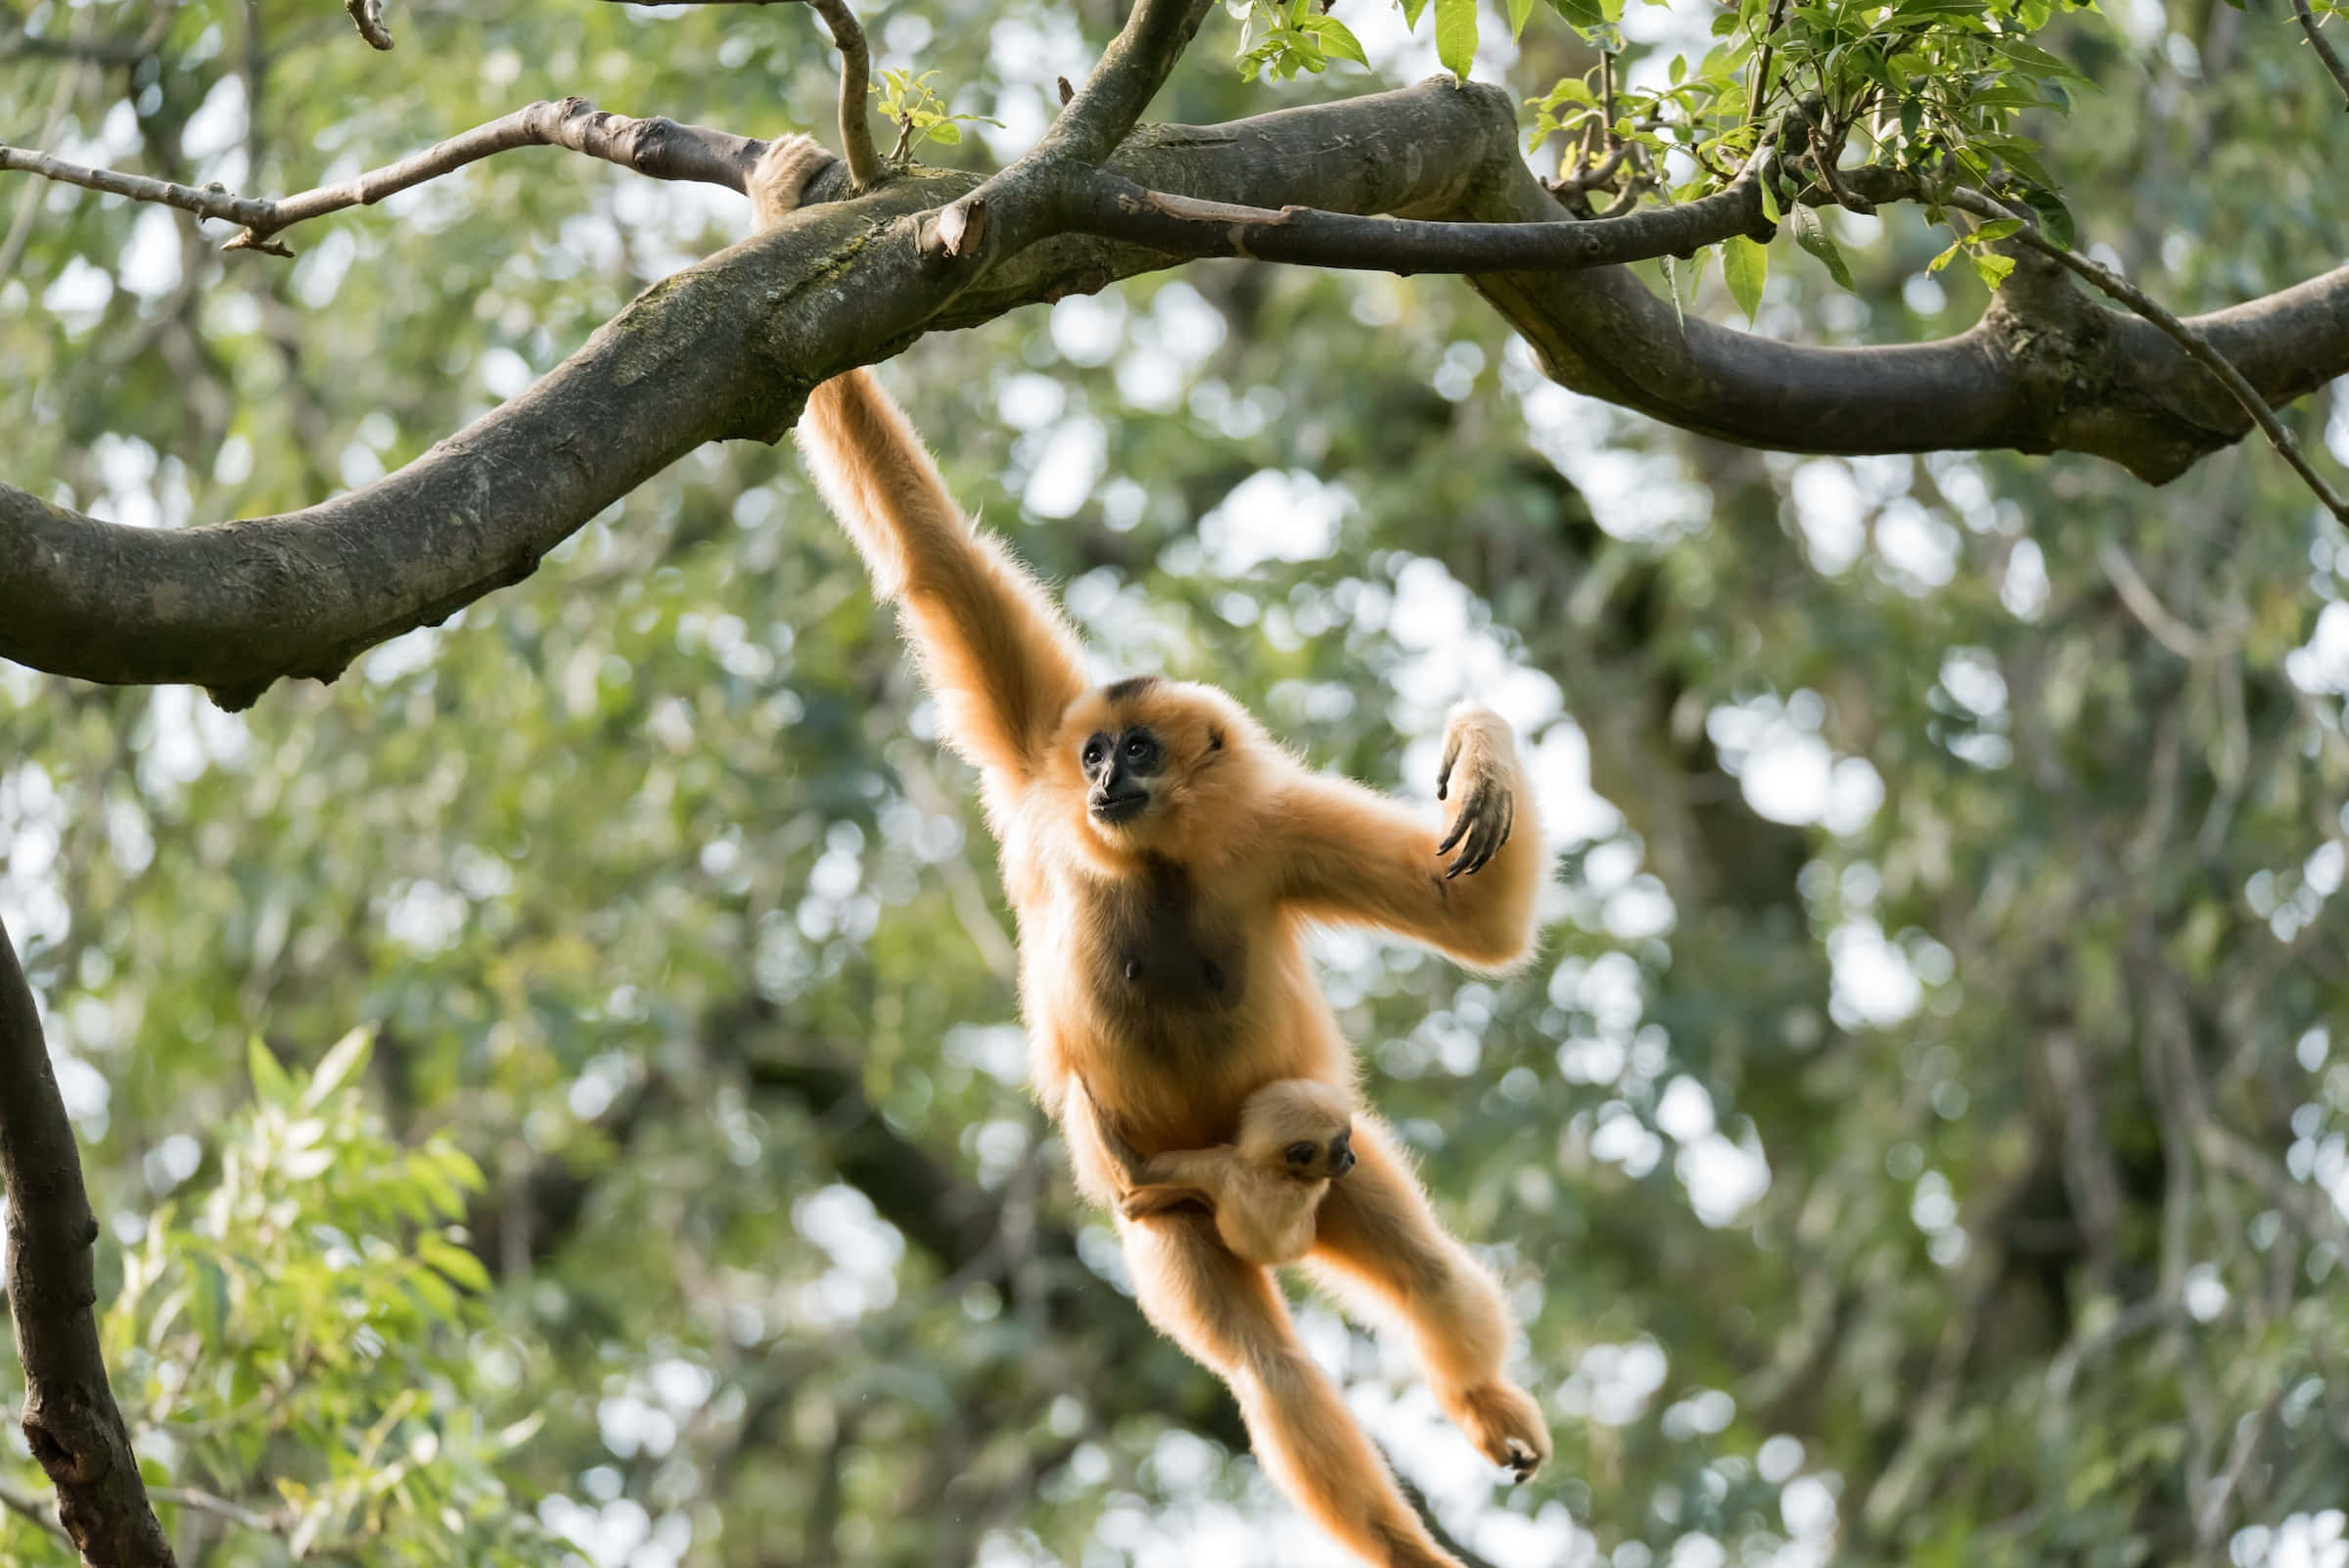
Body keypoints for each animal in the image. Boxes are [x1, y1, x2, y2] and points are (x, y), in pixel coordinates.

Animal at [1083, 1074, 1358, 1267]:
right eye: (1342, 1148)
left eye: (1347, 1142)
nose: (1352, 1158)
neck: (1268, 1168)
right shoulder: (1225, 1163)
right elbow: (1137, 1173)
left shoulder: (1218, 1165)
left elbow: (1136, 1173)